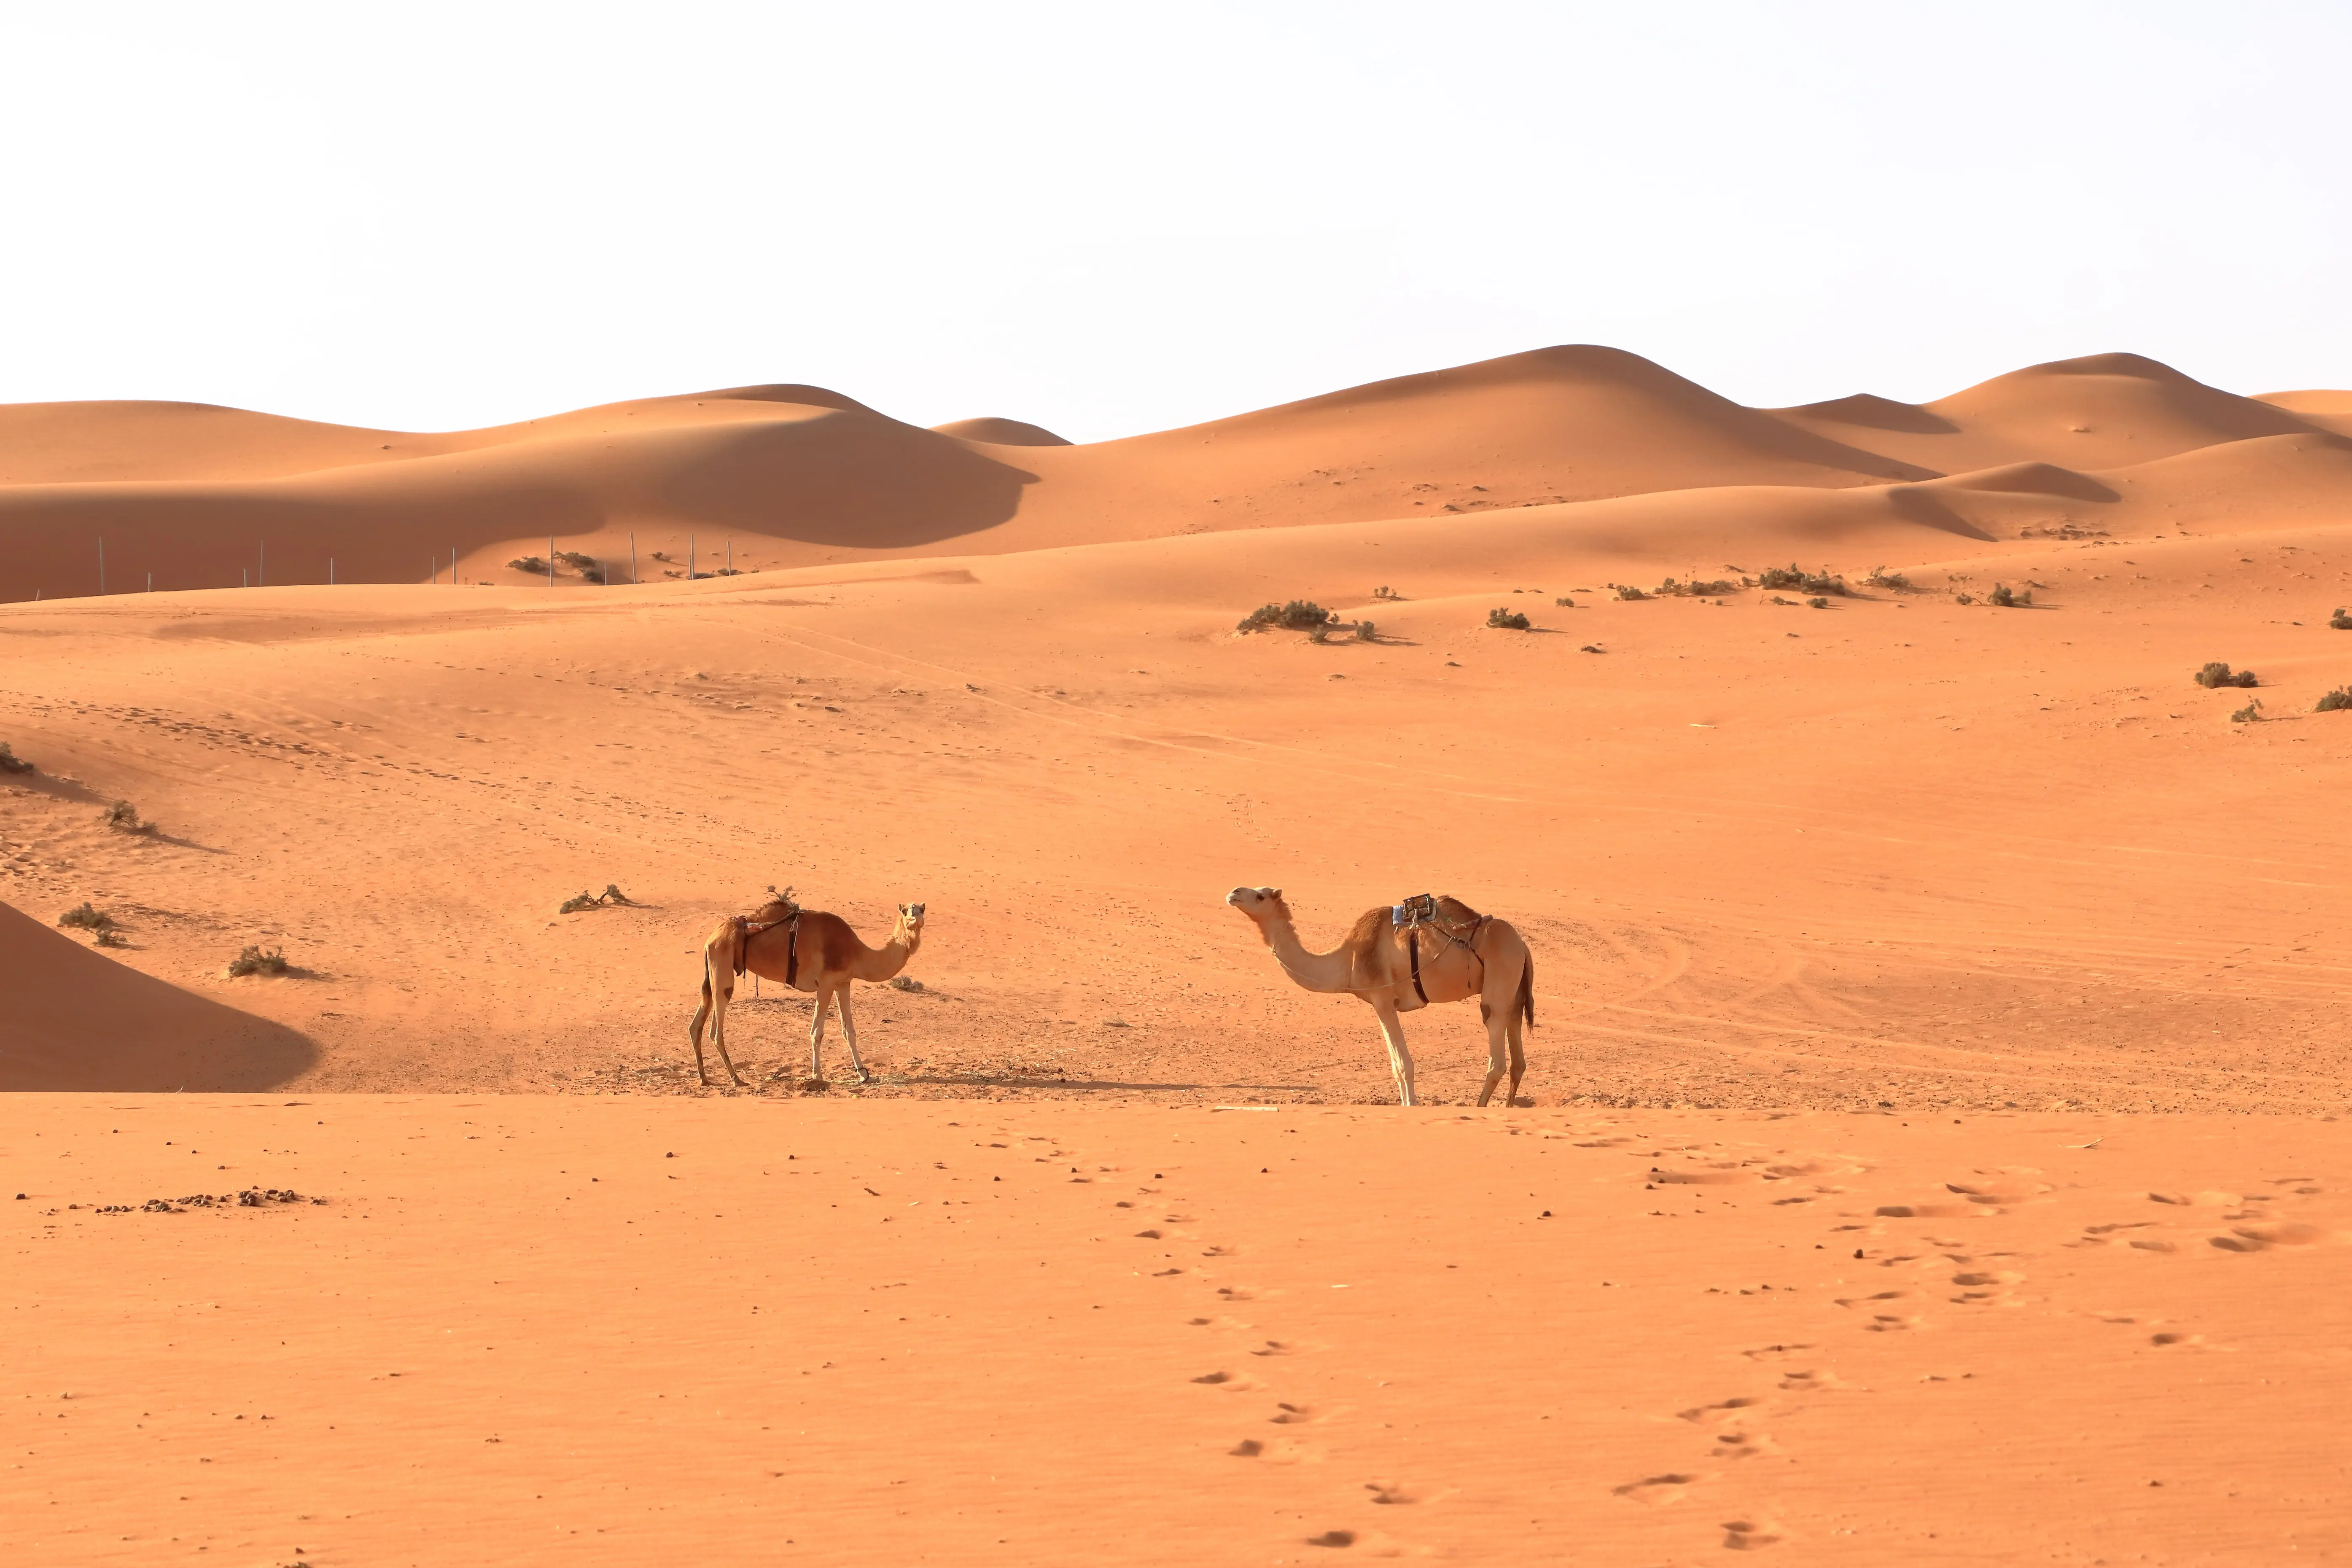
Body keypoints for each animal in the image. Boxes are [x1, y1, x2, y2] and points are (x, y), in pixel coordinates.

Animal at [686, 893, 922, 1091]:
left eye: (921, 908)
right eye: (905, 910)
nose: (916, 916)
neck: (857, 952)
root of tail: (711, 938)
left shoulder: (843, 984)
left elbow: (849, 1031)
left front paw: (864, 1074)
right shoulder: (826, 983)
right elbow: (817, 1032)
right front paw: (817, 1075)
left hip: (713, 971)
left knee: (696, 1025)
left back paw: (704, 1078)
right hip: (723, 969)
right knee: (715, 1030)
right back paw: (736, 1078)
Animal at [1223, 888, 1533, 1109]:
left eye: (1260, 895)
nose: (1233, 892)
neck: (1348, 961)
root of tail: (1523, 946)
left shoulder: (1382, 999)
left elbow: (1403, 1065)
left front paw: (1412, 1105)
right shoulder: (1380, 1003)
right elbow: (1397, 1067)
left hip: (1499, 980)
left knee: (1496, 1049)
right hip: (1515, 992)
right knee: (1517, 1058)